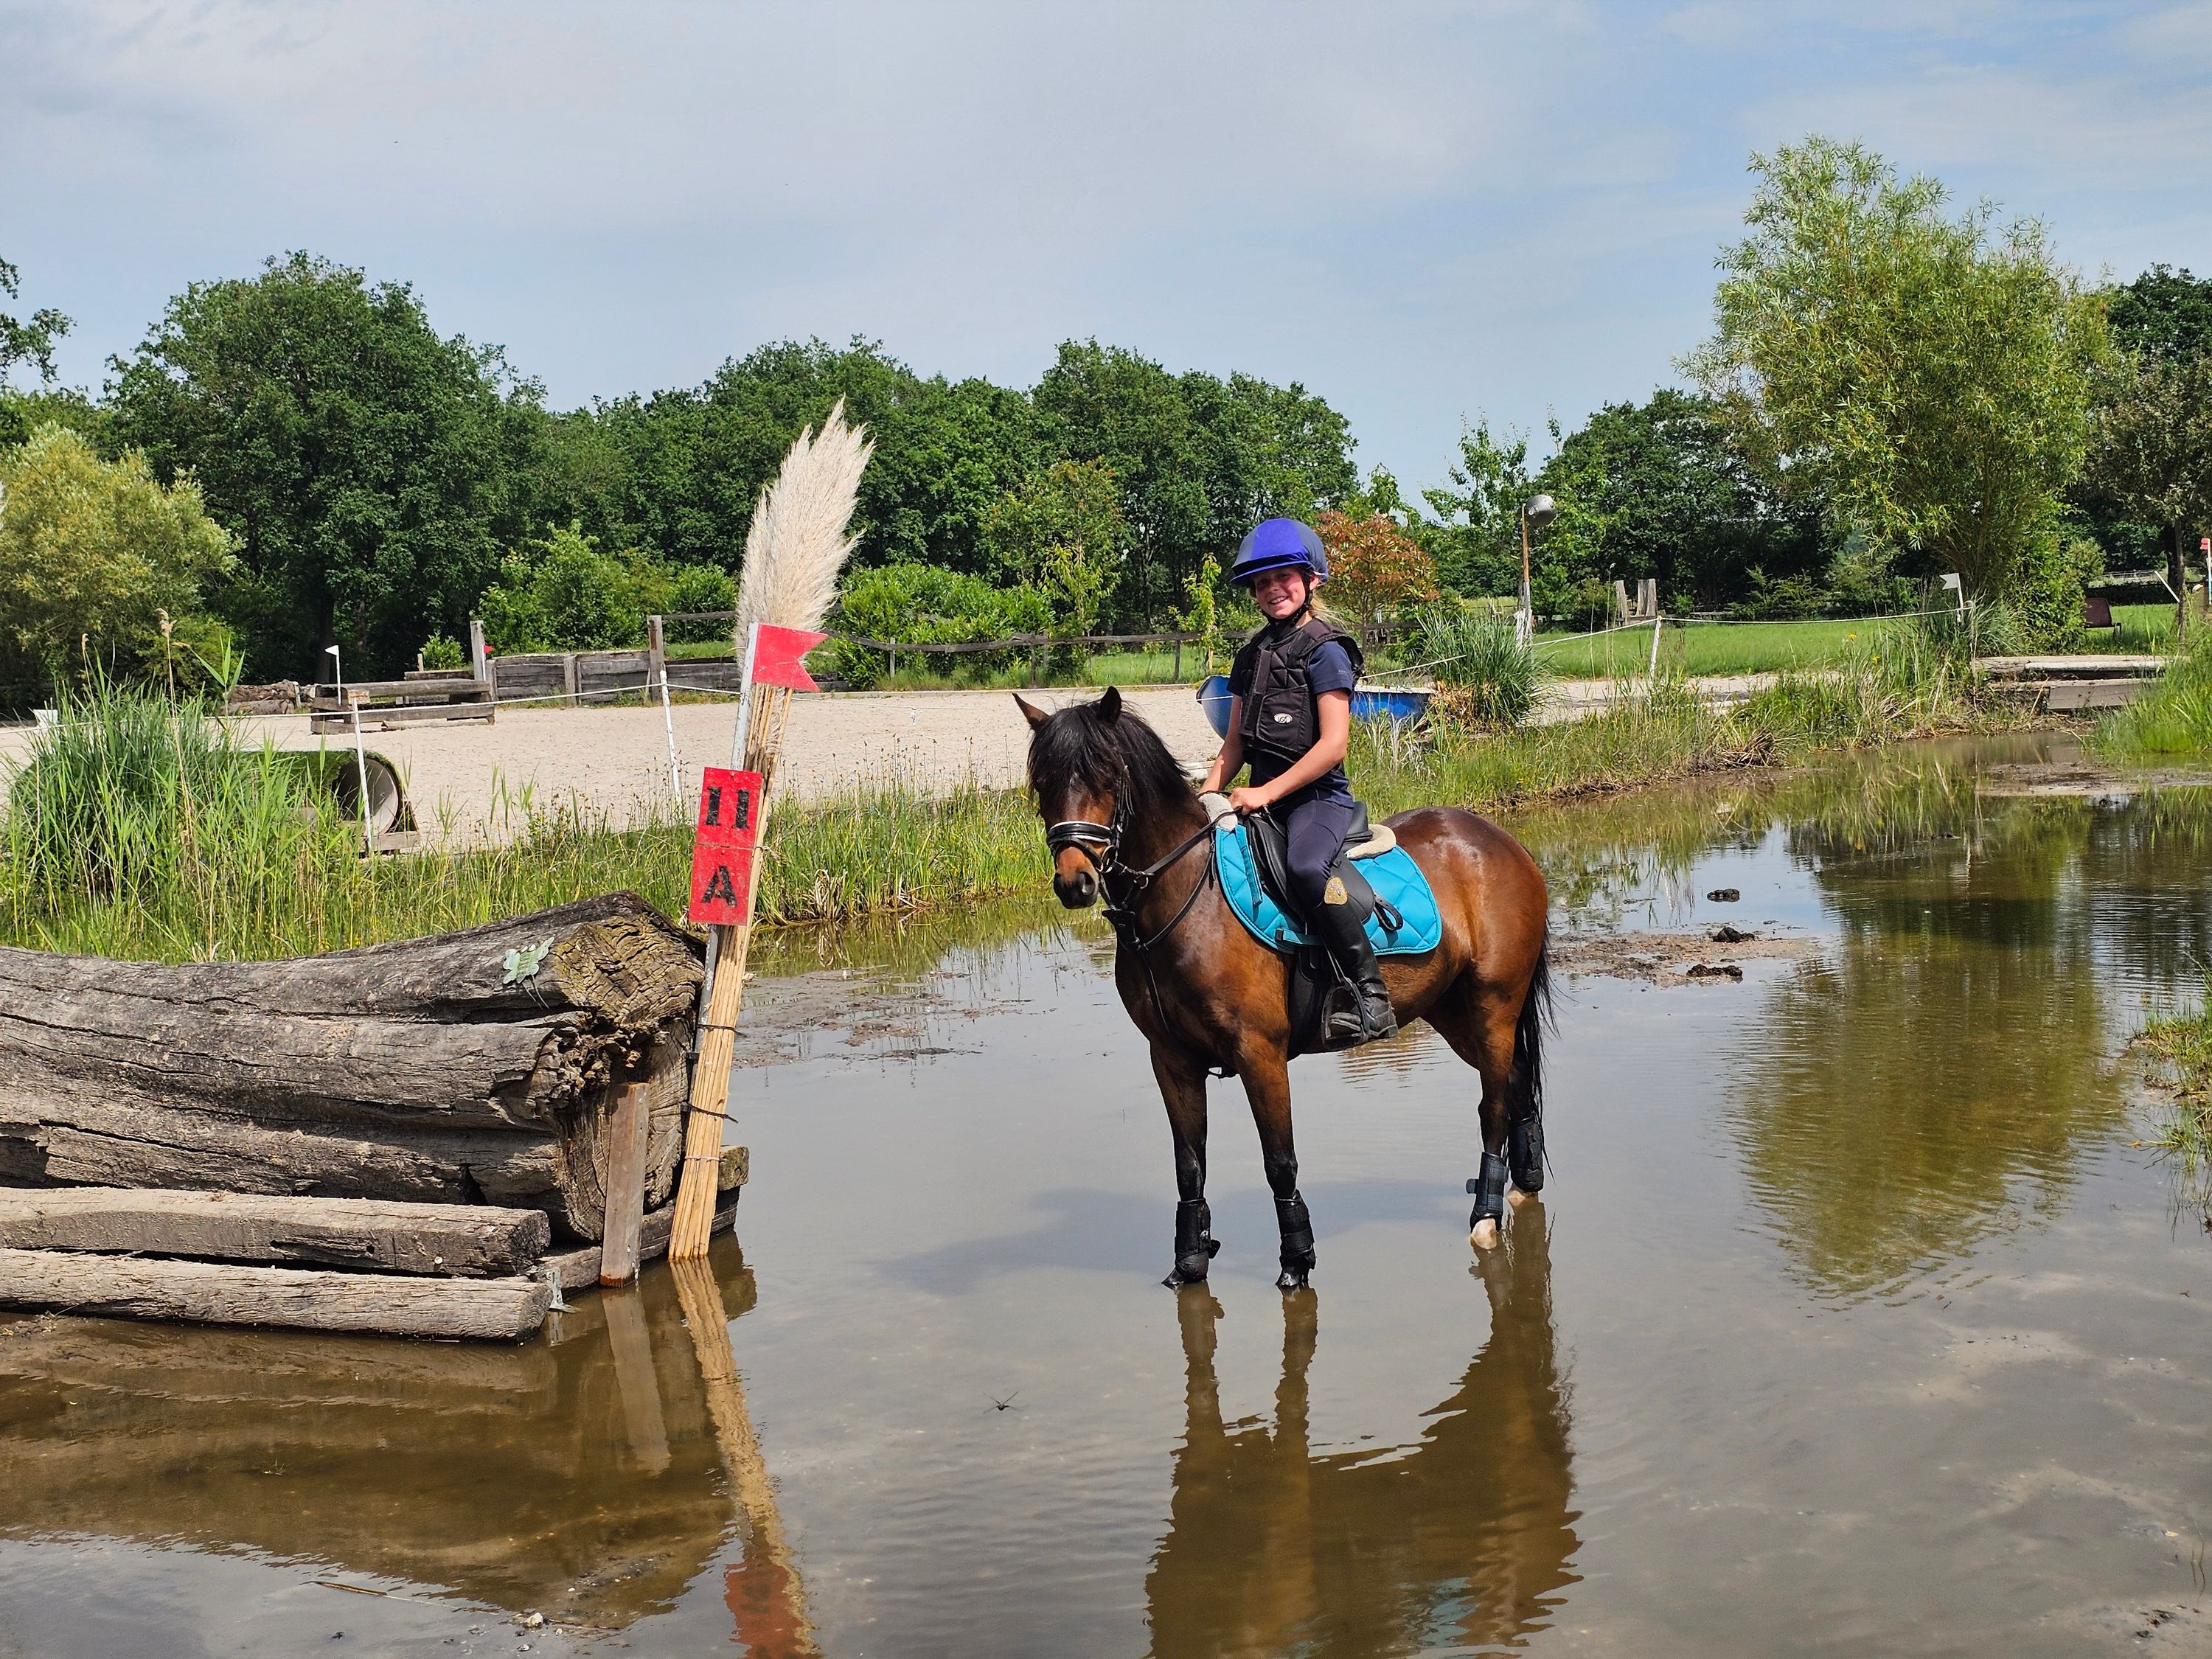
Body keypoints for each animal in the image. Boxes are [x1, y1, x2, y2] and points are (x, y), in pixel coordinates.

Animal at [1017, 687, 1552, 1289]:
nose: (1074, 883)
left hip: (1493, 1005)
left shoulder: (1260, 1053)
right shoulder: (1171, 1059)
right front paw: (1189, 1261)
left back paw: (1486, 1214)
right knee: (1515, 1083)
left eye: (1106, 775)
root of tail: (1501, 842)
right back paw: (1523, 1184)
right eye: (1043, 782)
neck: (1185, 903)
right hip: (1454, 1011)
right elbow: (1190, 1166)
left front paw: (1296, 1260)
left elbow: (1280, 1160)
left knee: (1494, 1103)